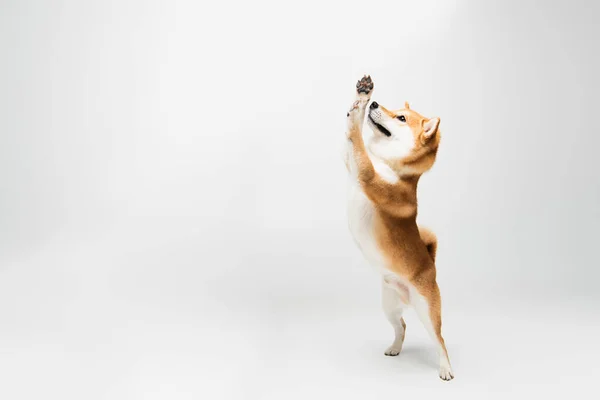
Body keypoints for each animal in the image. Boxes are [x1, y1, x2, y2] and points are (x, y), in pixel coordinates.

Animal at [342, 76, 454, 382]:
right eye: (395, 110)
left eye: (401, 118)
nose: (375, 104)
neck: (387, 165)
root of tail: (431, 262)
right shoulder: (352, 167)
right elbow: (351, 142)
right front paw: (359, 97)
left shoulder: (367, 176)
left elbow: (356, 136)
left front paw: (359, 106)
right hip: (389, 305)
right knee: (402, 326)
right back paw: (394, 347)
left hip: (427, 310)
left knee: (440, 340)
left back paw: (445, 368)